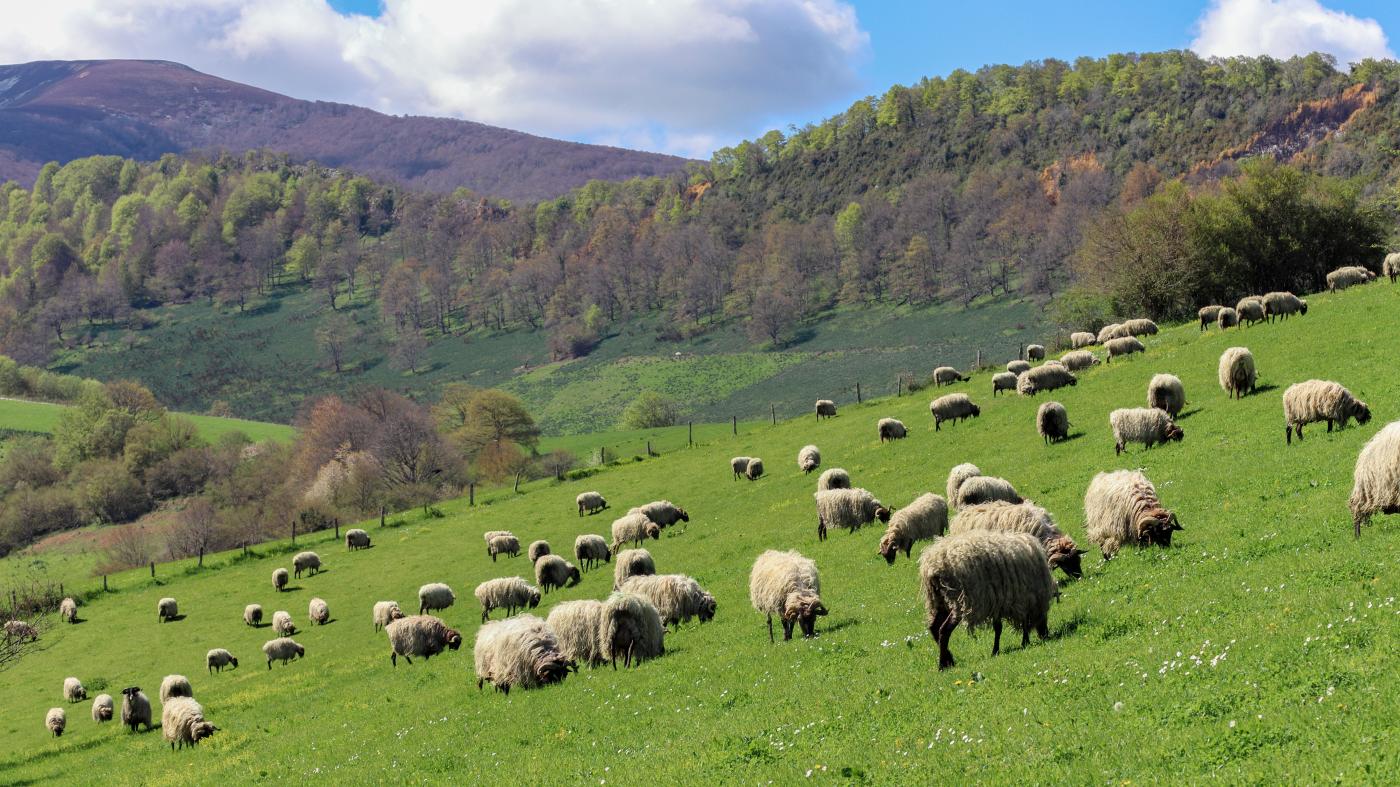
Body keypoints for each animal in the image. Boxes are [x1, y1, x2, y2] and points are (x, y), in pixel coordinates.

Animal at [918, 526, 1052, 666]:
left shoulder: (999, 603)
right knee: (943, 630)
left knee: (934, 627)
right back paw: (943, 664)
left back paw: (949, 659)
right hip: (959, 600)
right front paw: (1024, 642)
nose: (1045, 634)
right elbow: (1022, 623)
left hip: (940, 600)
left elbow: (998, 628)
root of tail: (933, 566)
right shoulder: (1023, 599)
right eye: (1045, 615)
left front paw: (996, 650)